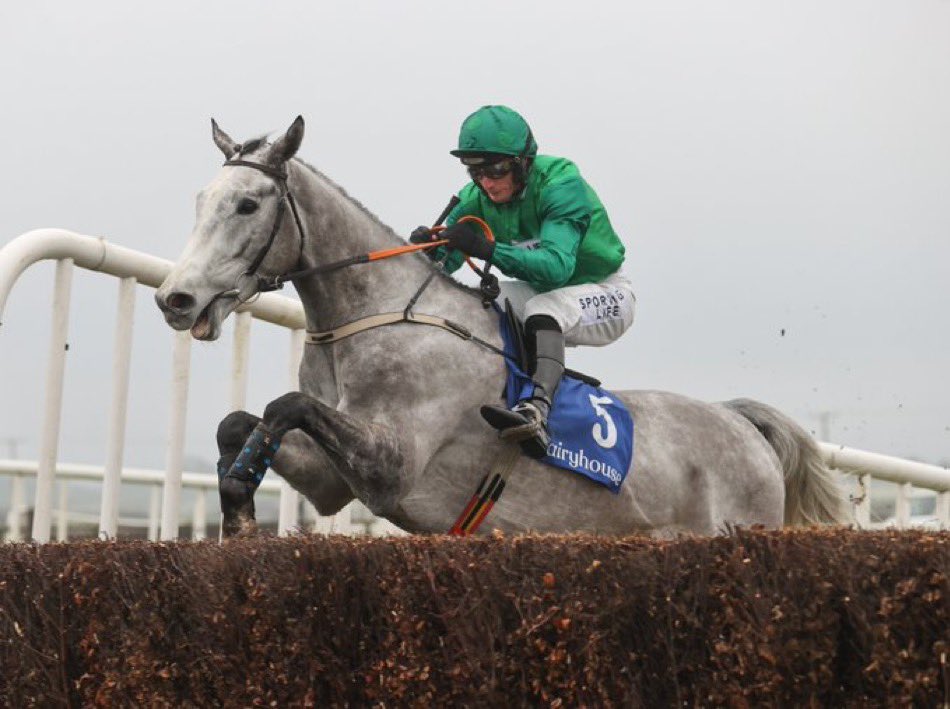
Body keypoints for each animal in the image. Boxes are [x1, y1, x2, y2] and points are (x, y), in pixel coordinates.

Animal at [156, 116, 856, 536]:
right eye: (199, 201)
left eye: (248, 204)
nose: (176, 299)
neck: (374, 323)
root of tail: (742, 423)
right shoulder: (335, 481)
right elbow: (242, 421)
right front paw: (238, 502)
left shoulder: (393, 464)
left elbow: (285, 405)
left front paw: (241, 484)